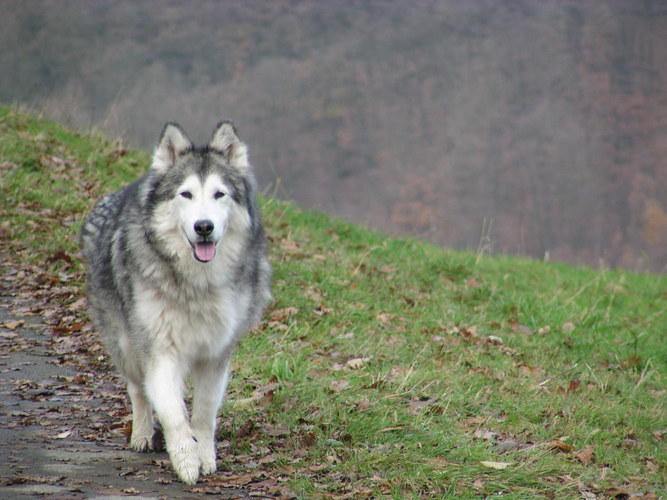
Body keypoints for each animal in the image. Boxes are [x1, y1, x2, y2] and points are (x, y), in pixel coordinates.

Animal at [80, 121, 272, 484]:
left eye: (219, 194)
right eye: (186, 194)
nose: (204, 227)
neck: (197, 283)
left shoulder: (215, 355)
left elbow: (204, 414)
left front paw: (205, 456)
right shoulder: (159, 351)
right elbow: (172, 413)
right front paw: (185, 461)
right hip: (126, 345)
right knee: (138, 390)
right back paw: (142, 435)